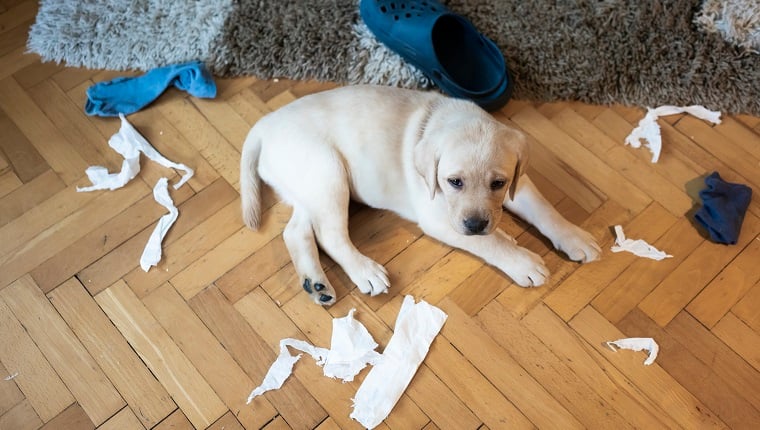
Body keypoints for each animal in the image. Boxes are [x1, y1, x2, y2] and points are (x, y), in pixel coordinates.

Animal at [240, 85, 604, 306]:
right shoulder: (438, 218)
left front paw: (574, 236)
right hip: (327, 171)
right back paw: (364, 271)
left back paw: (316, 284)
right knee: (329, 235)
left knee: (296, 231)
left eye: (498, 184)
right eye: (454, 182)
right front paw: (522, 260)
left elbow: (544, 209)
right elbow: (490, 243)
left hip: (308, 184)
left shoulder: (518, 180)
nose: (475, 224)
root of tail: (264, 125)